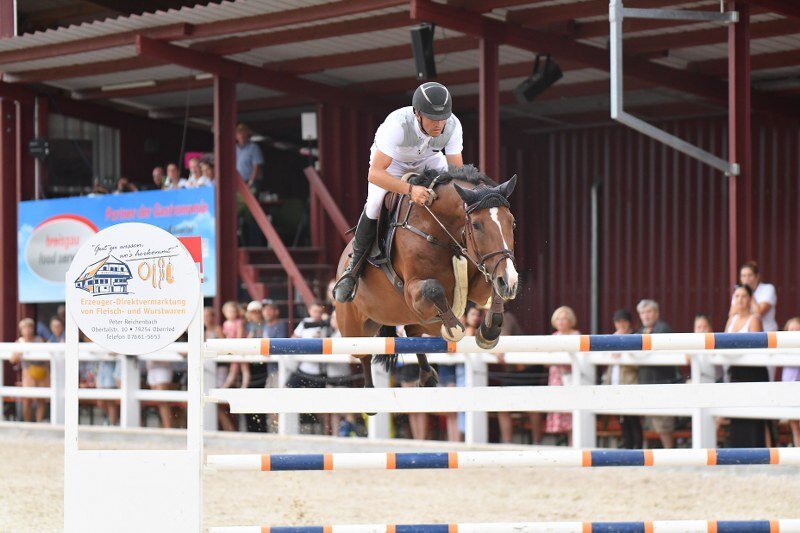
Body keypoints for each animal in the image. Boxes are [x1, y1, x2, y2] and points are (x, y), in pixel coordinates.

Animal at [334, 165, 519, 388]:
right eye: (476, 225)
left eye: (512, 223)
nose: (510, 281)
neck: (441, 232)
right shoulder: (411, 291)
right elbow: (433, 288)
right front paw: (454, 328)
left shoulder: (479, 280)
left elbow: (492, 286)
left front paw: (489, 332)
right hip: (353, 328)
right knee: (363, 355)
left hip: (417, 321)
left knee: (413, 333)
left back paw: (427, 376)